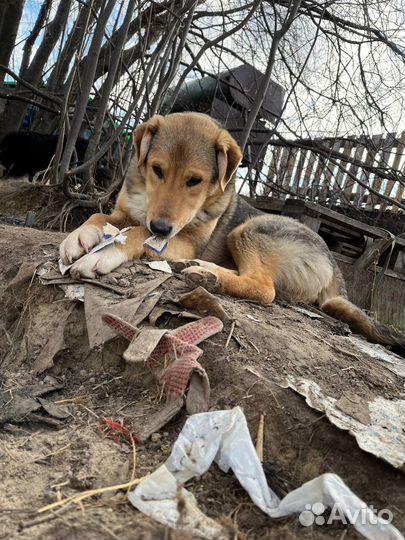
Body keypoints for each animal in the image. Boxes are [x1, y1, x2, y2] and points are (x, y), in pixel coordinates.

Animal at [60, 112, 404, 348]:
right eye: (157, 169)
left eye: (194, 180)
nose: (161, 226)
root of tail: (334, 267)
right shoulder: (124, 213)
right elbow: (99, 216)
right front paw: (78, 237)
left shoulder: (182, 239)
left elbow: (137, 234)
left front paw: (103, 254)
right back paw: (201, 269)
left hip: (250, 229)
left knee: (265, 289)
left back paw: (207, 276)